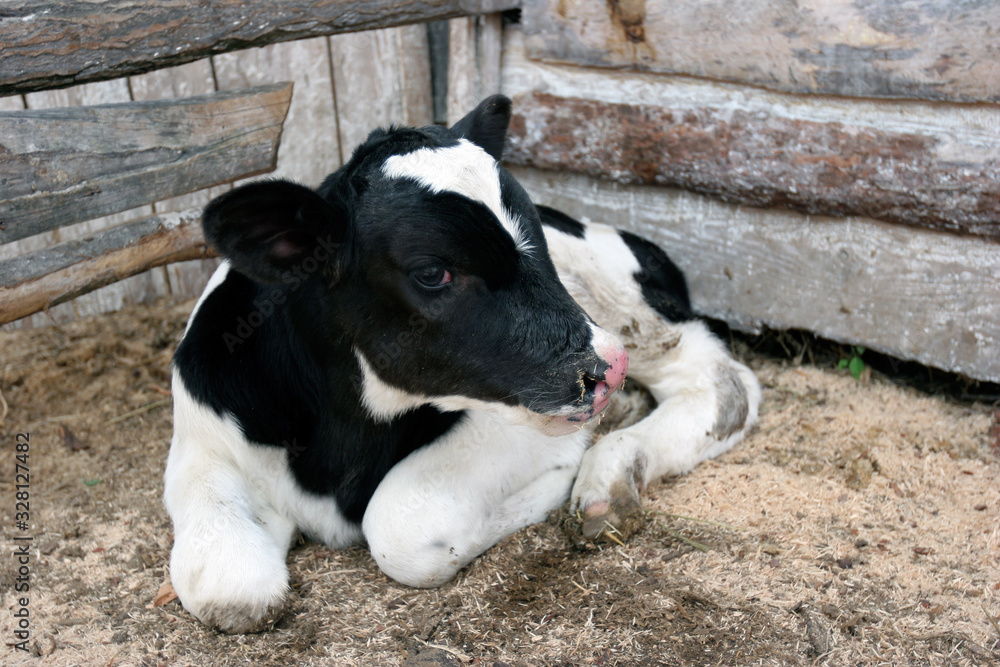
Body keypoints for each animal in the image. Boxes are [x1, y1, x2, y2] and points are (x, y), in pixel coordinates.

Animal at [164, 95, 760, 633]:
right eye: (433, 272)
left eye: (534, 236)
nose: (607, 368)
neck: (339, 446)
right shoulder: (203, 440)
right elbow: (229, 588)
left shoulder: (519, 423)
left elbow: (400, 523)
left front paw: (552, 483)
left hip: (621, 302)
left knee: (723, 380)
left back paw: (607, 483)